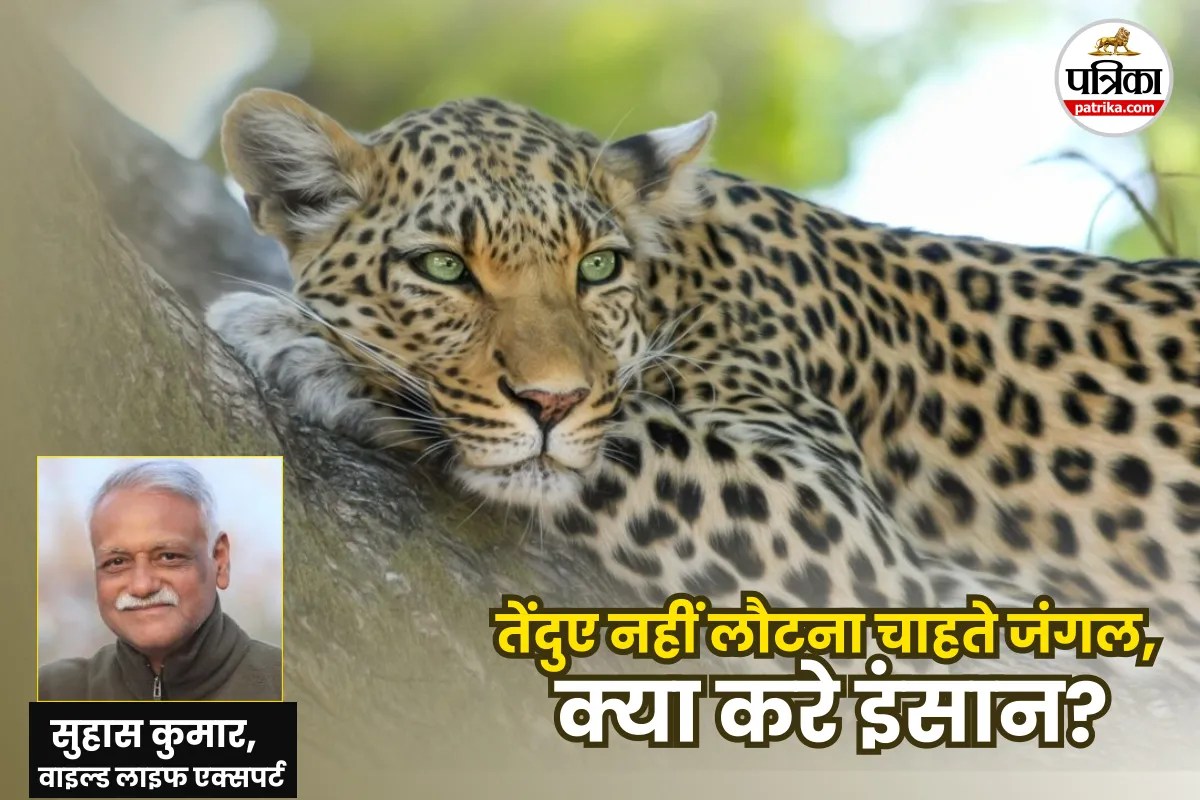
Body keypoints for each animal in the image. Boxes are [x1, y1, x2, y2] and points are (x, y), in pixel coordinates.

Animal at [206, 89, 1200, 675]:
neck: (681, 279)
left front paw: (307, 343)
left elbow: (631, 432)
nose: (551, 401)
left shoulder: (849, 528)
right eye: (444, 269)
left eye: (597, 267)